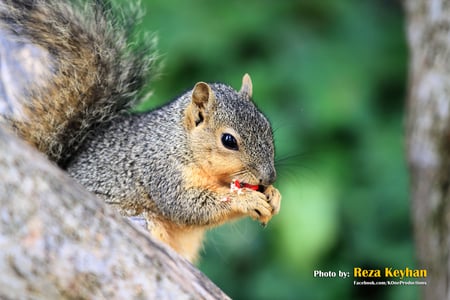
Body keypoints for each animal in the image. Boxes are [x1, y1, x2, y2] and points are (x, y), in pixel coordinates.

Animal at [0, 0, 282, 262]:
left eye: (268, 128)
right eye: (228, 140)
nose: (269, 177)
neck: (179, 143)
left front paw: (274, 196)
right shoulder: (161, 172)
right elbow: (189, 206)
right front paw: (247, 200)